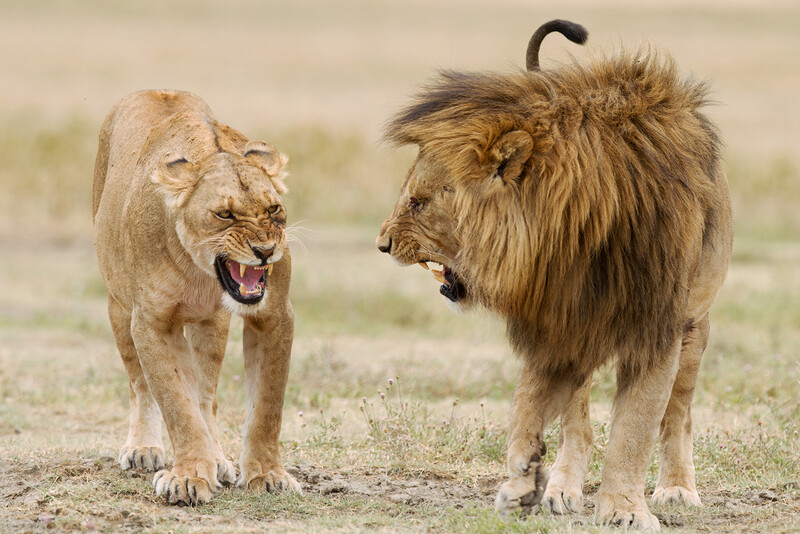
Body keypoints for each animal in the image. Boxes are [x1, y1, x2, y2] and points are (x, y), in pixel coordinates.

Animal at [93, 90, 300, 505]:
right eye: (224, 215)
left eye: (273, 208)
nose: (266, 251)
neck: (201, 273)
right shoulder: (151, 322)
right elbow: (176, 403)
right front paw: (187, 477)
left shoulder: (274, 316)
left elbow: (267, 406)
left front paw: (268, 475)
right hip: (118, 307)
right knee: (140, 384)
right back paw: (143, 448)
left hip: (211, 324)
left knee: (205, 395)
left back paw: (217, 459)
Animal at [376, 20, 733, 530]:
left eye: (419, 203)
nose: (382, 243)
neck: (578, 236)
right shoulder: (553, 322)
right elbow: (530, 407)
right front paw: (524, 473)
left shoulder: (657, 329)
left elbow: (636, 428)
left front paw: (625, 510)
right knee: (576, 419)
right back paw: (562, 486)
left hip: (695, 323)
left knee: (678, 411)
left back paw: (677, 487)